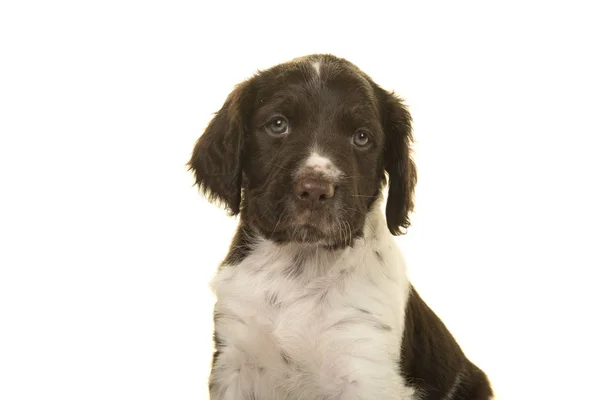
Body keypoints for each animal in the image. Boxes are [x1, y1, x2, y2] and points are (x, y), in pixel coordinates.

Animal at [190, 54, 494, 400]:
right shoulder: (235, 359)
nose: (316, 190)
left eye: (362, 137)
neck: (301, 269)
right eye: (278, 125)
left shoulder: (365, 366)